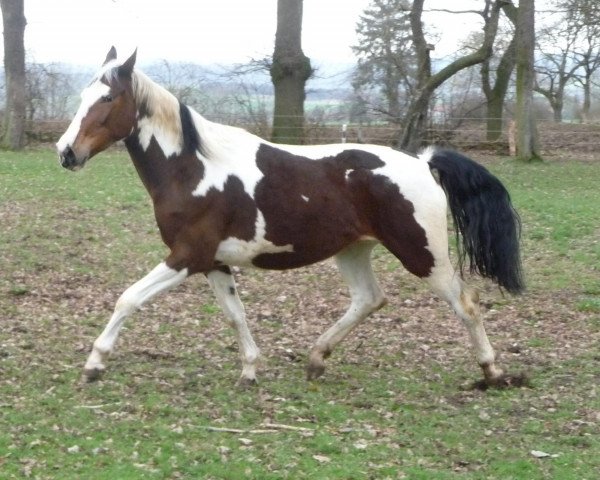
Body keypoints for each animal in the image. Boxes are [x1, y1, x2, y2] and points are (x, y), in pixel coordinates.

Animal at [56, 47, 524, 388]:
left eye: (107, 98)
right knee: (369, 299)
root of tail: (423, 162)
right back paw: (316, 359)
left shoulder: (186, 256)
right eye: (80, 97)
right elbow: (235, 314)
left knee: (466, 303)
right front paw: (250, 370)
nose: (66, 153)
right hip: (353, 251)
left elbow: (129, 298)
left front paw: (95, 363)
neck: (193, 169)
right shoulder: (214, 262)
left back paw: (492, 372)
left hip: (423, 254)